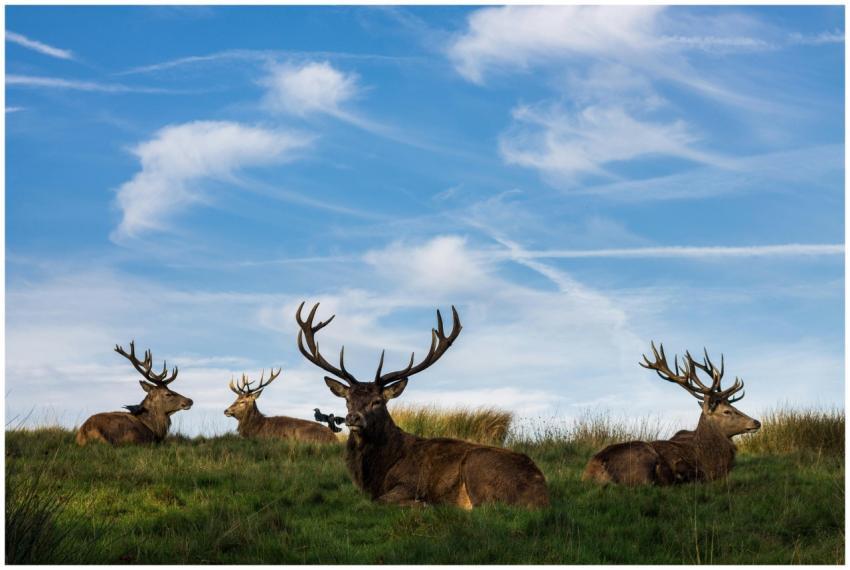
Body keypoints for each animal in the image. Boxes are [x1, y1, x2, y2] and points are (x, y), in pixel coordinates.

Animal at [296, 302, 550, 509]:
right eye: (347, 399)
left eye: (377, 401)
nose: (352, 418)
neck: (374, 475)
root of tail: (543, 495)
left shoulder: (410, 483)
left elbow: (381, 500)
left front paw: (423, 503)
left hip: (478, 467)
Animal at [583, 341, 761, 486]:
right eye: (727, 411)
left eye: (732, 405)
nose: (756, 422)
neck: (709, 457)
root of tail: (592, 469)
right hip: (643, 457)